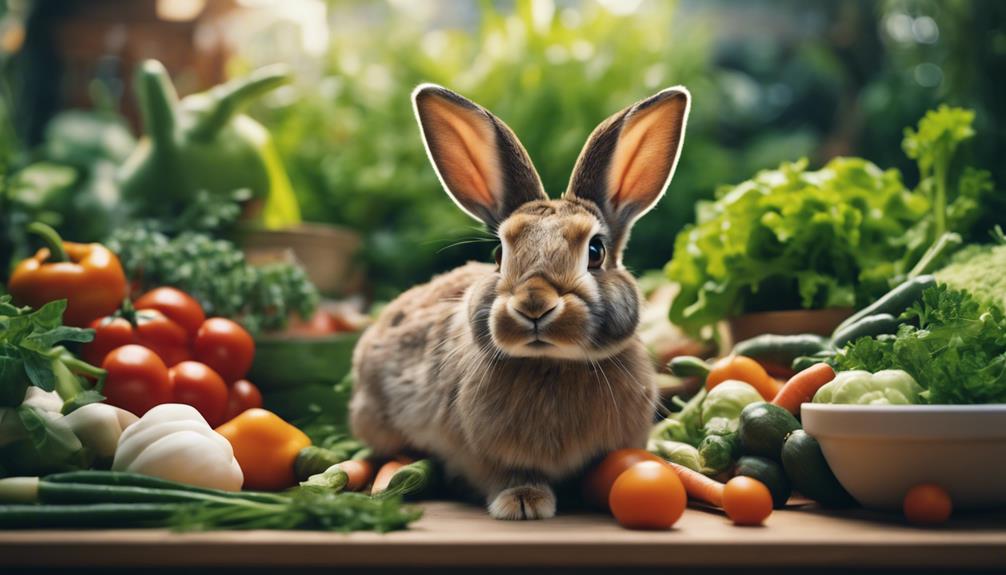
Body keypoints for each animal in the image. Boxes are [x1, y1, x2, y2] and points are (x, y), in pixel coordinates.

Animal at [350, 83, 691, 520]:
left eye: (595, 251)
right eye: (499, 255)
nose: (534, 306)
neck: (553, 363)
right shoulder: (482, 453)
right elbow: (508, 474)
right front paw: (524, 502)